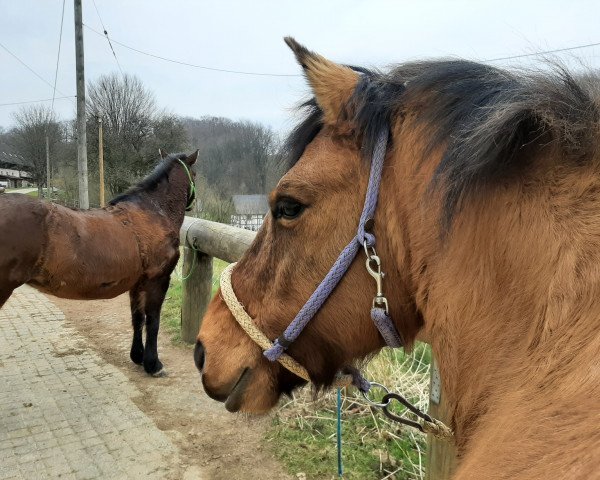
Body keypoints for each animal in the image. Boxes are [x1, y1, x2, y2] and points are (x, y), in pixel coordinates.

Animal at [1, 150, 198, 376]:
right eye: (195, 174)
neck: (153, 212)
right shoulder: (157, 280)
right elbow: (153, 320)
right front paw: (153, 364)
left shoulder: (137, 283)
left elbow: (137, 318)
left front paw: (137, 357)